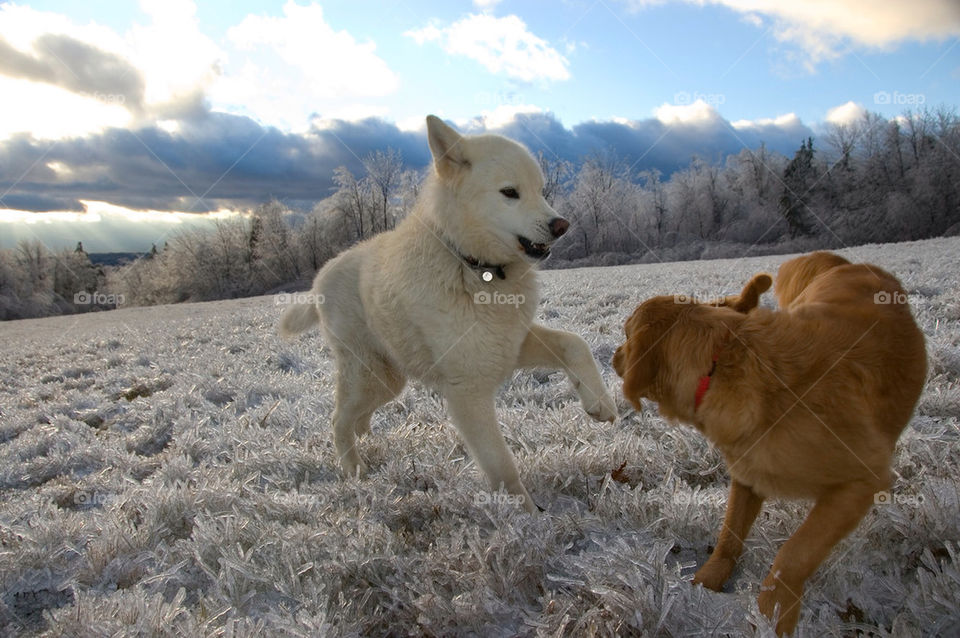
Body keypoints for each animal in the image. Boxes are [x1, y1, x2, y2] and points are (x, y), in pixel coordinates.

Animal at [282, 116, 620, 516]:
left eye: (541, 191)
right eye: (510, 192)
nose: (561, 225)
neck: (471, 265)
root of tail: (321, 276)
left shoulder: (509, 343)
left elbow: (575, 343)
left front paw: (599, 403)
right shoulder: (467, 391)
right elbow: (501, 464)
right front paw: (525, 516)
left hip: (390, 379)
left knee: (354, 416)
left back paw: (365, 435)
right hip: (371, 375)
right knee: (337, 419)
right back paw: (354, 469)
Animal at [612, 254, 928, 636]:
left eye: (626, 334)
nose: (613, 354)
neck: (722, 365)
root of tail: (849, 263)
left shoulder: (862, 480)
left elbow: (794, 554)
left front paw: (774, 609)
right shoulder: (748, 472)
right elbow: (730, 534)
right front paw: (709, 581)